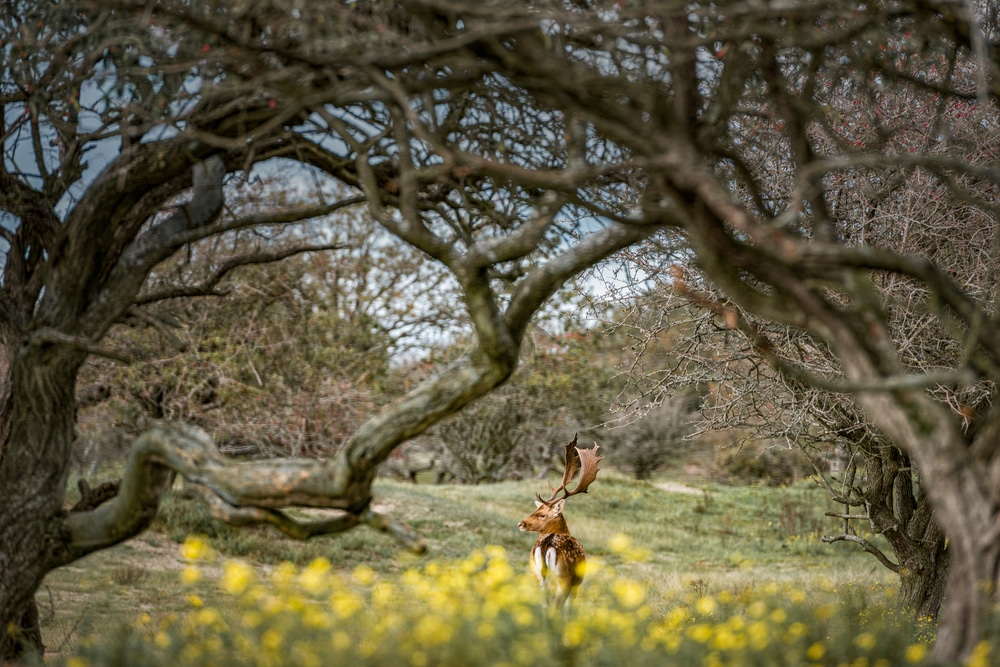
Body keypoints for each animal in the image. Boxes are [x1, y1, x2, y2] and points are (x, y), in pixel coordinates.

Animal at [516, 436, 600, 612]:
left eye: (541, 514)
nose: (521, 524)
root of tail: (545, 546)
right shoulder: (576, 583)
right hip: (563, 579)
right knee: (555, 607)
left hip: (537, 576)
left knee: (544, 605)